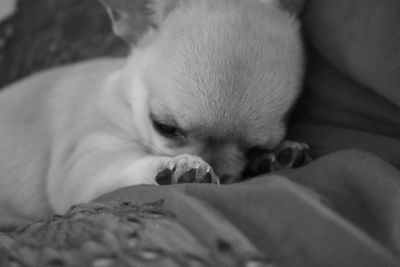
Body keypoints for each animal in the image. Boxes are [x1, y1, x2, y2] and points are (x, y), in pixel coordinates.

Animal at [0, 0, 304, 228]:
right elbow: (125, 163)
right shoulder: (81, 165)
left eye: (256, 148)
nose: (219, 168)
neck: (124, 100)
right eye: (164, 127)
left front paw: (272, 157)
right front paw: (176, 167)